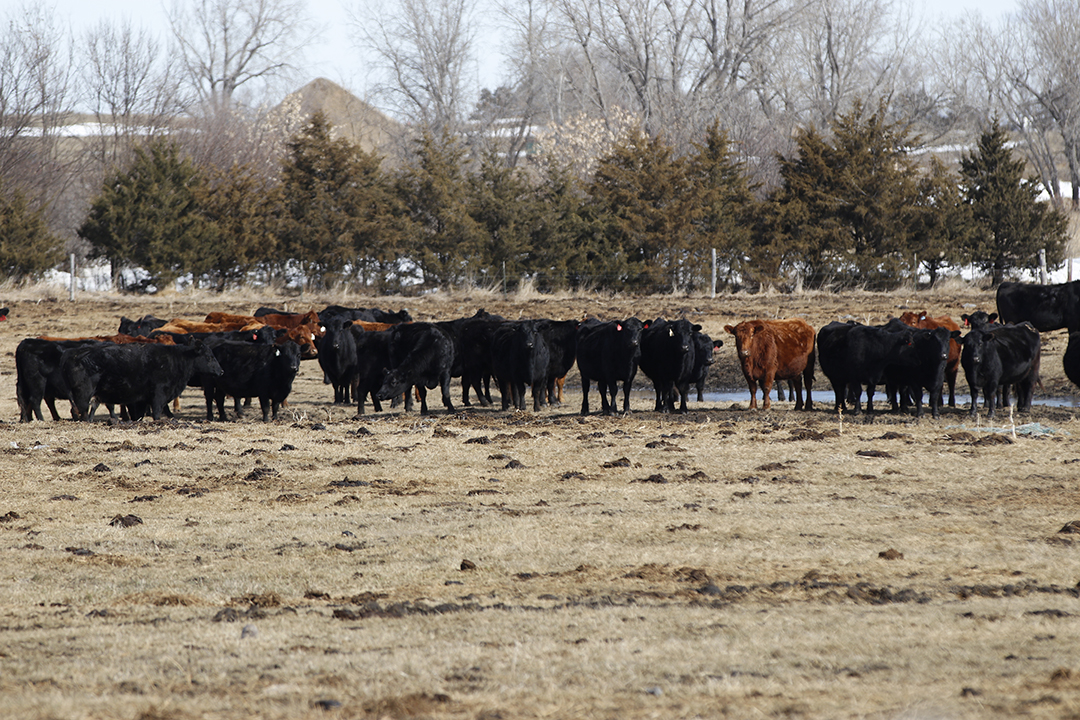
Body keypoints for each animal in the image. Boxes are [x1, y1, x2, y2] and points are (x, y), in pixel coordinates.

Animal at [61, 341, 223, 421]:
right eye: (209, 357)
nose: (221, 371)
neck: (176, 359)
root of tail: (73, 354)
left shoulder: (141, 400)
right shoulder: (158, 395)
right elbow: (156, 413)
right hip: (83, 394)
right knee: (81, 411)